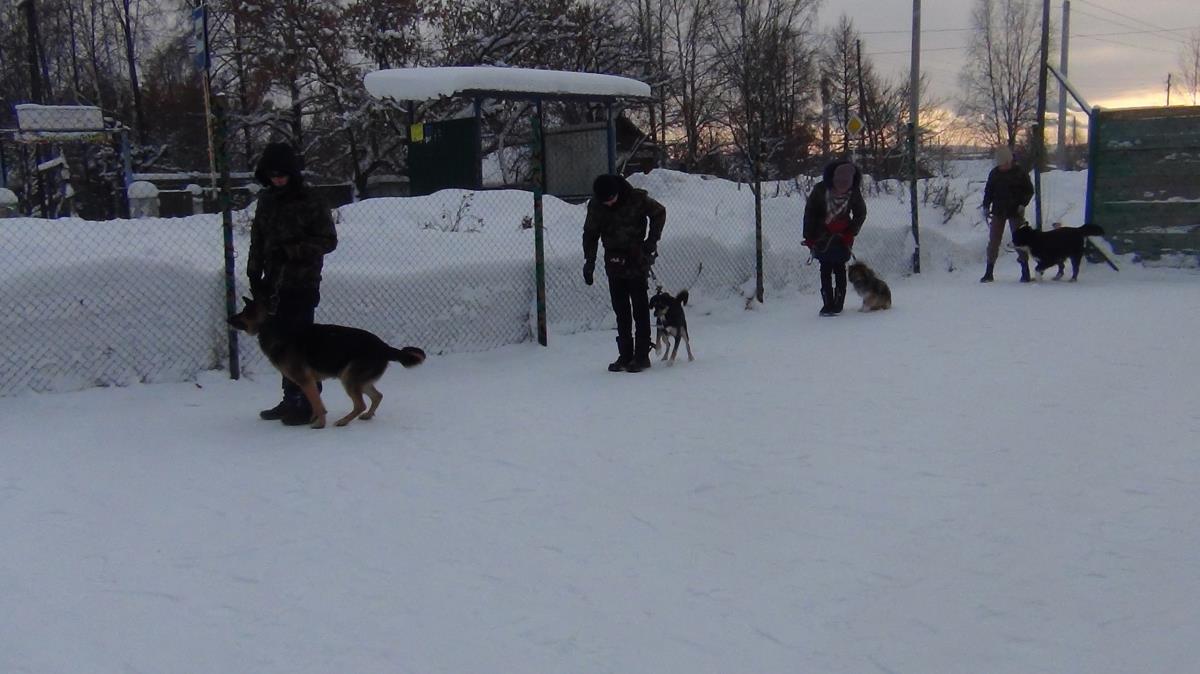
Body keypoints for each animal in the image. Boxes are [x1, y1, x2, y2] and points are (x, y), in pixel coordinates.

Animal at [228, 295, 427, 429]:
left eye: (243, 313)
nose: (227, 319)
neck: (270, 326)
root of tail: (385, 347)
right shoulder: (308, 382)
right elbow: (316, 403)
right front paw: (314, 419)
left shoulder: (305, 380)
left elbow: (318, 405)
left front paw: (319, 424)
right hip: (358, 381)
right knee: (377, 396)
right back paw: (368, 416)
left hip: (348, 378)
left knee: (360, 404)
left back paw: (344, 421)